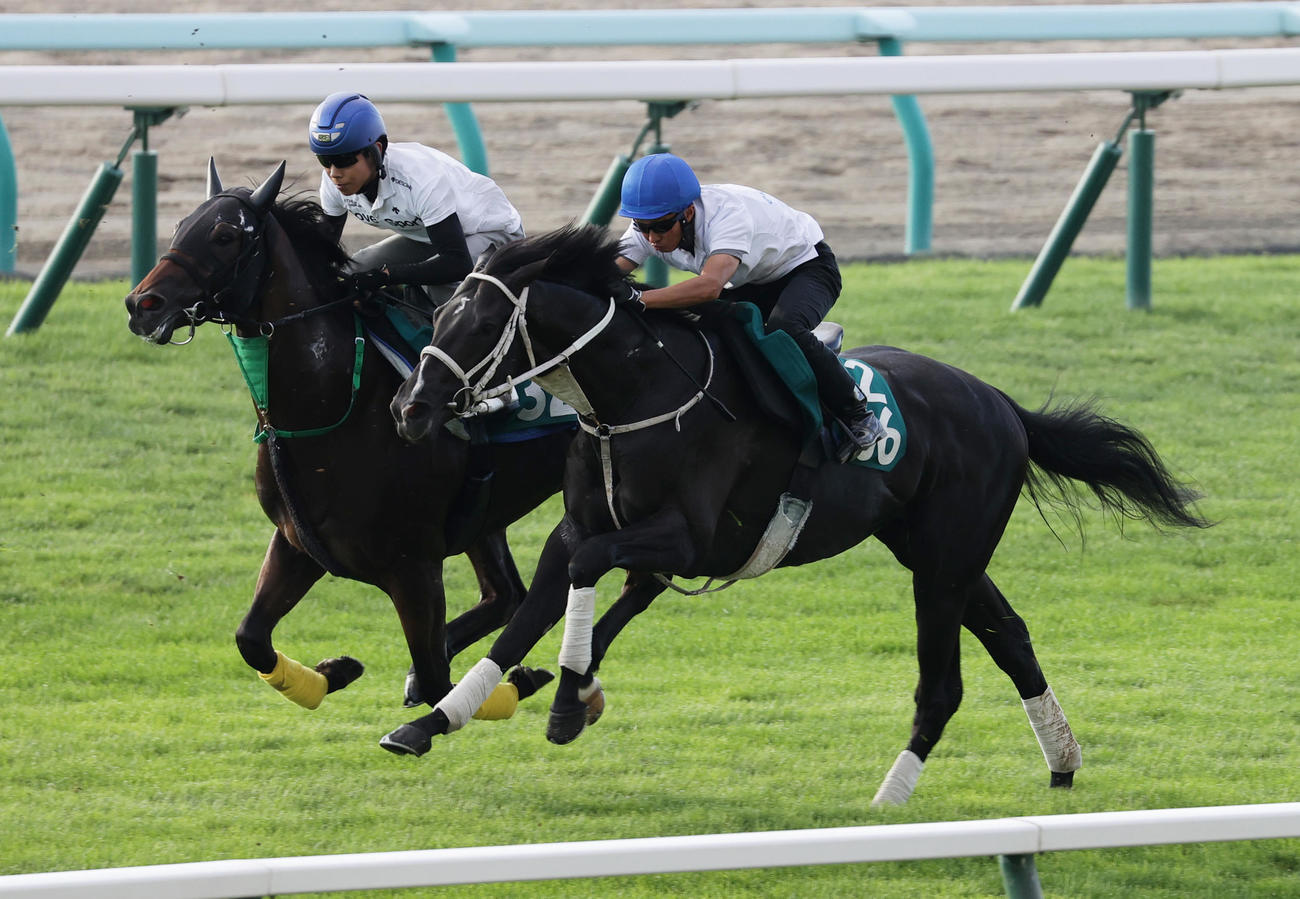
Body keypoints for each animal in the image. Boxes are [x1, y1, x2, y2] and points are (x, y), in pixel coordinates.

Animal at [124, 160, 569, 745]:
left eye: (224, 236)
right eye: (178, 226)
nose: (141, 304)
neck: (333, 404)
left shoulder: (413, 567)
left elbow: (436, 679)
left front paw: (516, 682)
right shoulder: (296, 543)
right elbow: (251, 638)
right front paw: (332, 673)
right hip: (482, 517)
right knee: (505, 595)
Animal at [384, 223, 1210, 804]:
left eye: (478, 325)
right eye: (441, 312)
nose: (409, 408)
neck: (634, 397)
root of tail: (1003, 404)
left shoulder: (684, 539)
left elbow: (585, 586)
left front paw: (563, 700)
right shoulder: (581, 527)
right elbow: (524, 621)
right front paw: (430, 721)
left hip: (944, 563)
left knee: (944, 684)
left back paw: (888, 798)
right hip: (937, 550)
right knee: (1010, 636)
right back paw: (1062, 761)